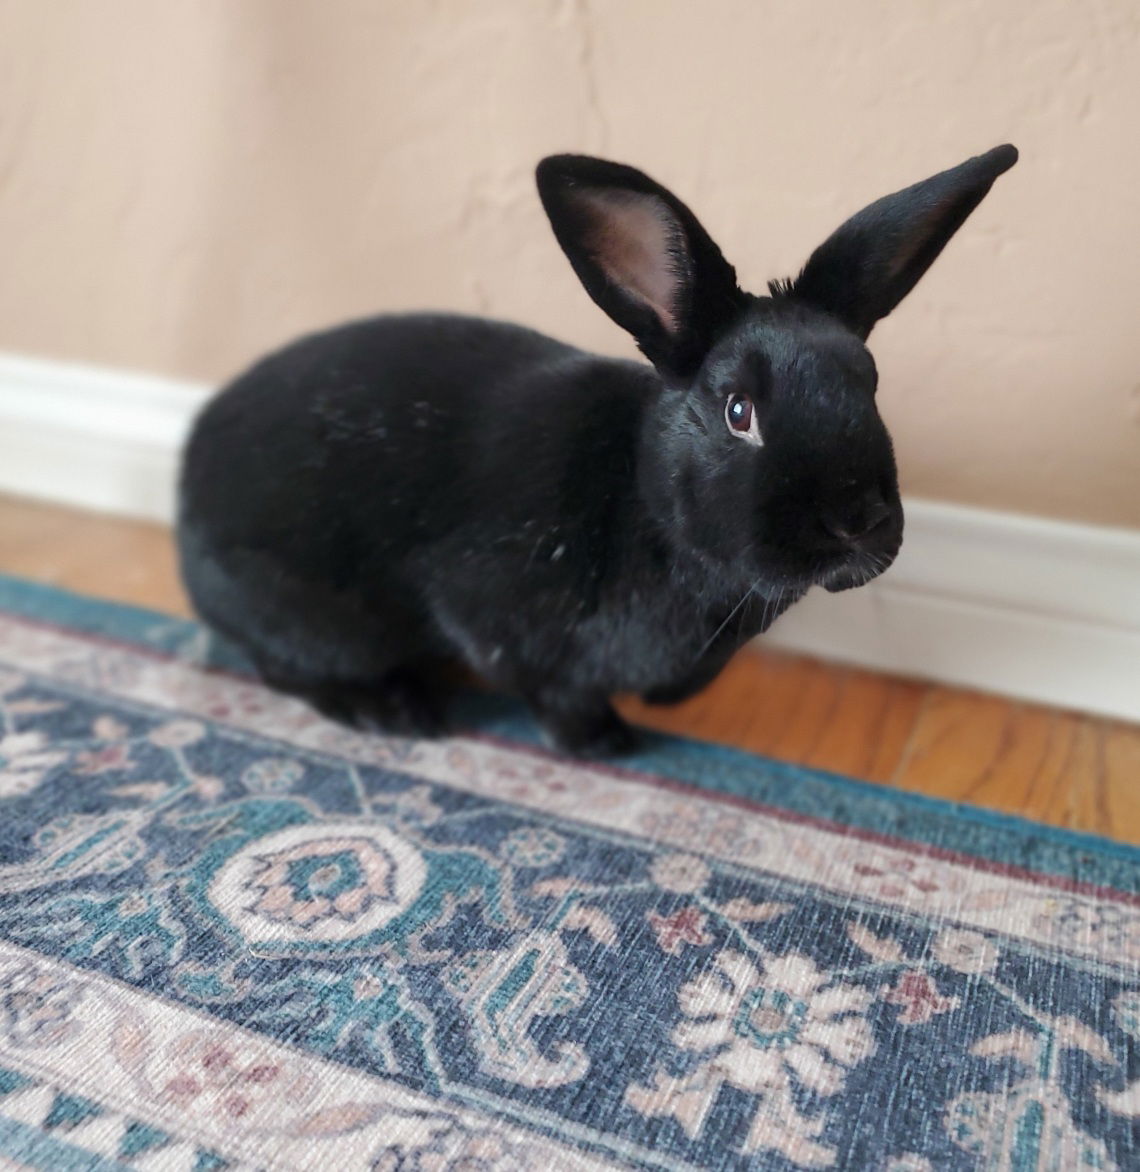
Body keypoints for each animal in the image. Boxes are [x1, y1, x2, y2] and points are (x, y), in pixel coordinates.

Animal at [178, 144, 1012, 750]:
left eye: (868, 382)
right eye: (738, 411)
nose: (856, 520)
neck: (646, 502)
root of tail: (186, 492)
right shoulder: (493, 613)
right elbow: (555, 691)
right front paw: (605, 743)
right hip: (314, 616)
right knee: (282, 666)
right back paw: (391, 712)